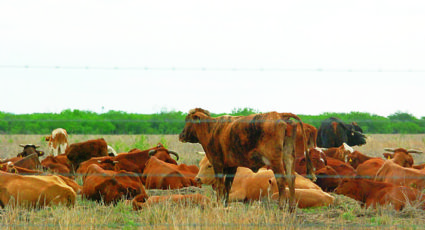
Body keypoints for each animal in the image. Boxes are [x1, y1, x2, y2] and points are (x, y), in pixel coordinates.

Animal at [177, 108, 314, 212]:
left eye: (188, 121)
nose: (181, 136)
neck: (212, 129)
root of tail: (279, 114)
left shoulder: (217, 163)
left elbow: (221, 186)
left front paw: (220, 205)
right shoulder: (231, 166)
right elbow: (227, 186)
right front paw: (225, 205)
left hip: (275, 160)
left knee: (281, 180)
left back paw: (281, 207)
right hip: (289, 156)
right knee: (291, 178)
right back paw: (291, 208)